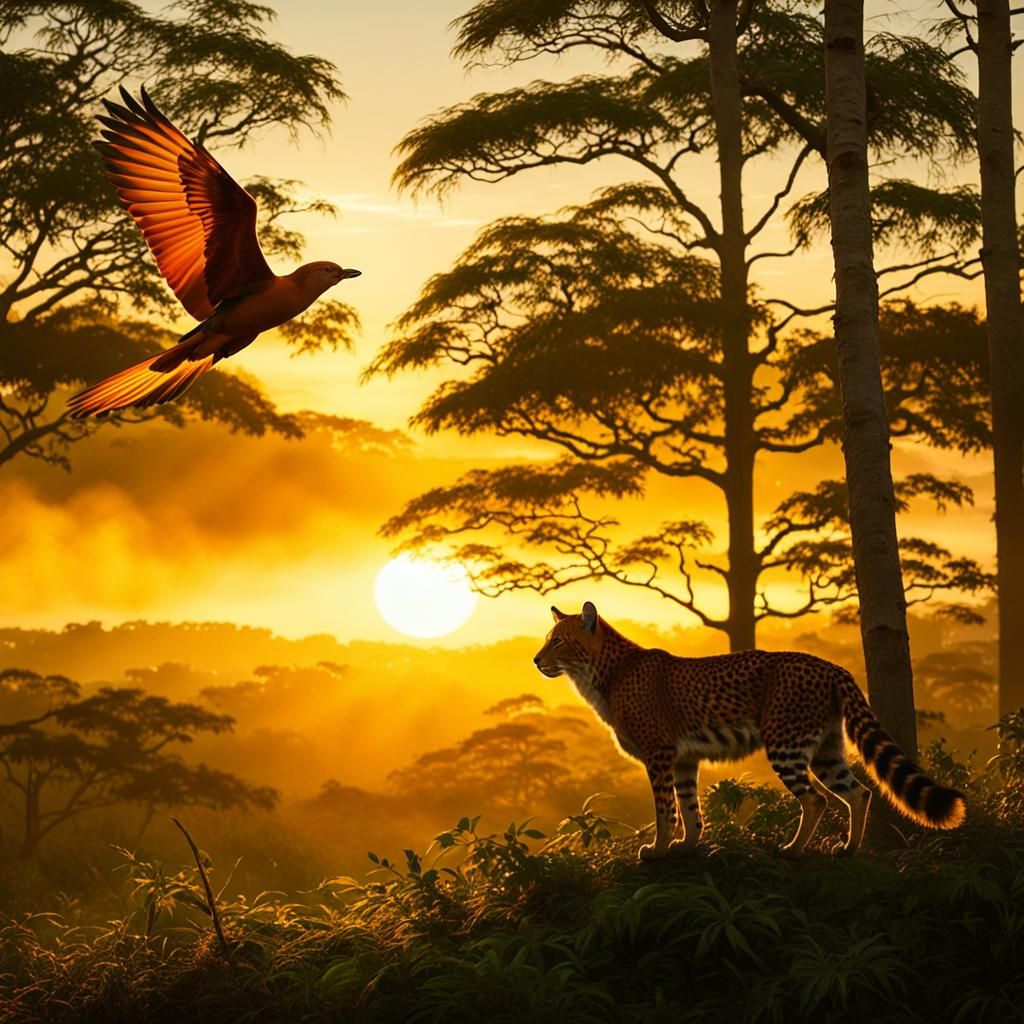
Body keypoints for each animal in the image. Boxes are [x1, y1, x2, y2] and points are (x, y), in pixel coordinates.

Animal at [533, 601, 965, 860]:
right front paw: (688, 844)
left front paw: (658, 848)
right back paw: (848, 848)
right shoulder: (684, 758)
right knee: (858, 792)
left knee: (817, 799)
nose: (536, 660)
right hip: (826, 750)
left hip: (785, 743)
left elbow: (664, 807)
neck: (601, 672)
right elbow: (689, 806)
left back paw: (791, 849)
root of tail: (830, 665)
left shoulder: (659, 754)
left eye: (558, 641)